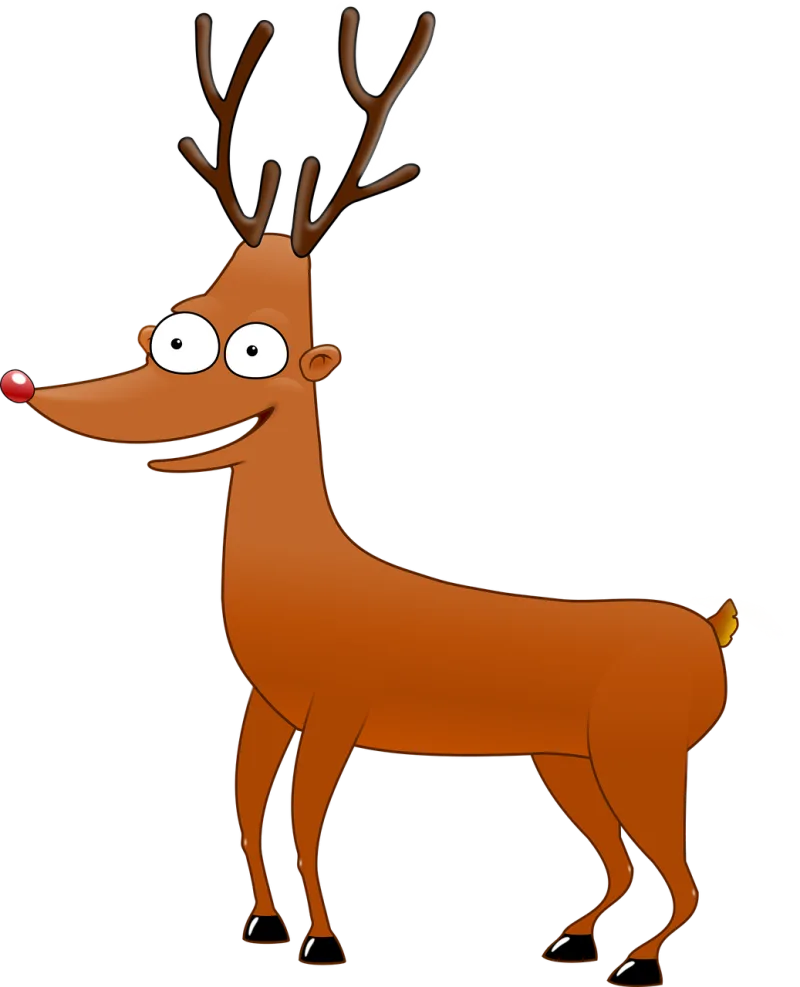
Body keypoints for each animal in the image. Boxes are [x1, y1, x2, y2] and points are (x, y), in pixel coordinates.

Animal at [1, 9, 742, 985]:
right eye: (173, 329)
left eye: (251, 350)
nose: (27, 389)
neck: (307, 574)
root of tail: (713, 630)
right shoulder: (269, 703)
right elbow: (248, 805)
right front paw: (264, 925)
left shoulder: (339, 708)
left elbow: (306, 818)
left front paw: (320, 939)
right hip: (567, 758)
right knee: (624, 861)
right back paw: (573, 941)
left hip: (640, 751)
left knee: (686, 875)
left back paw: (636, 961)